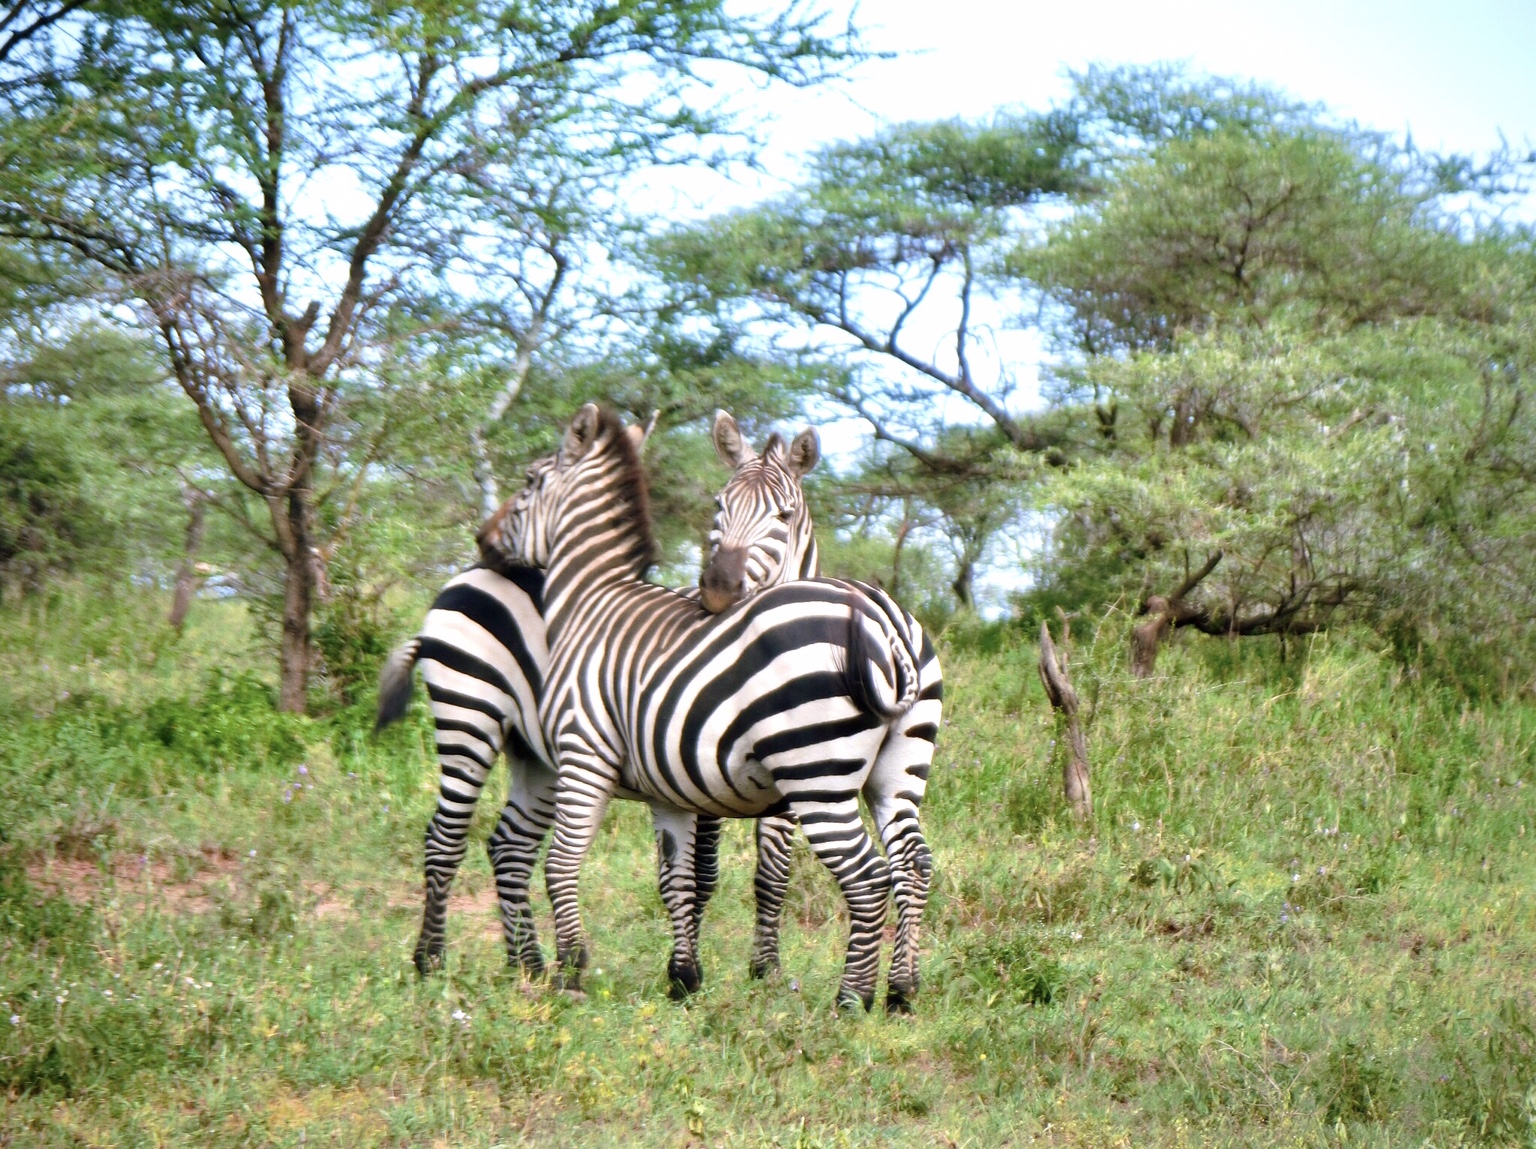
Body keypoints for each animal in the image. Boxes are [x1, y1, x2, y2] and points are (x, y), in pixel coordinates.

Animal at [373, 411, 829, 976]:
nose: (718, 591)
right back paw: (431, 960)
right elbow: (700, 877)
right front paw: (688, 964)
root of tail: (471, 572)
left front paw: (766, 972)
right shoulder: (694, 771)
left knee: (508, 844)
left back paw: (527, 963)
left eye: (784, 516)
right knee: (446, 835)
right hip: (469, 712)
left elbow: (772, 874)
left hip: (535, 750)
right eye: (719, 505)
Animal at [488, 405, 933, 1013]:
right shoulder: (676, 785)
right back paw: (901, 991)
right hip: (895, 772)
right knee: (913, 864)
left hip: (818, 777)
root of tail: (883, 620)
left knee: (868, 876)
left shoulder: (587, 753)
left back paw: (851, 1000)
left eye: (530, 482)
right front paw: (686, 977)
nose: (484, 542)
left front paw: (575, 973)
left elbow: (567, 863)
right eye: (720, 504)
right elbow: (684, 877)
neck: (592, 602)